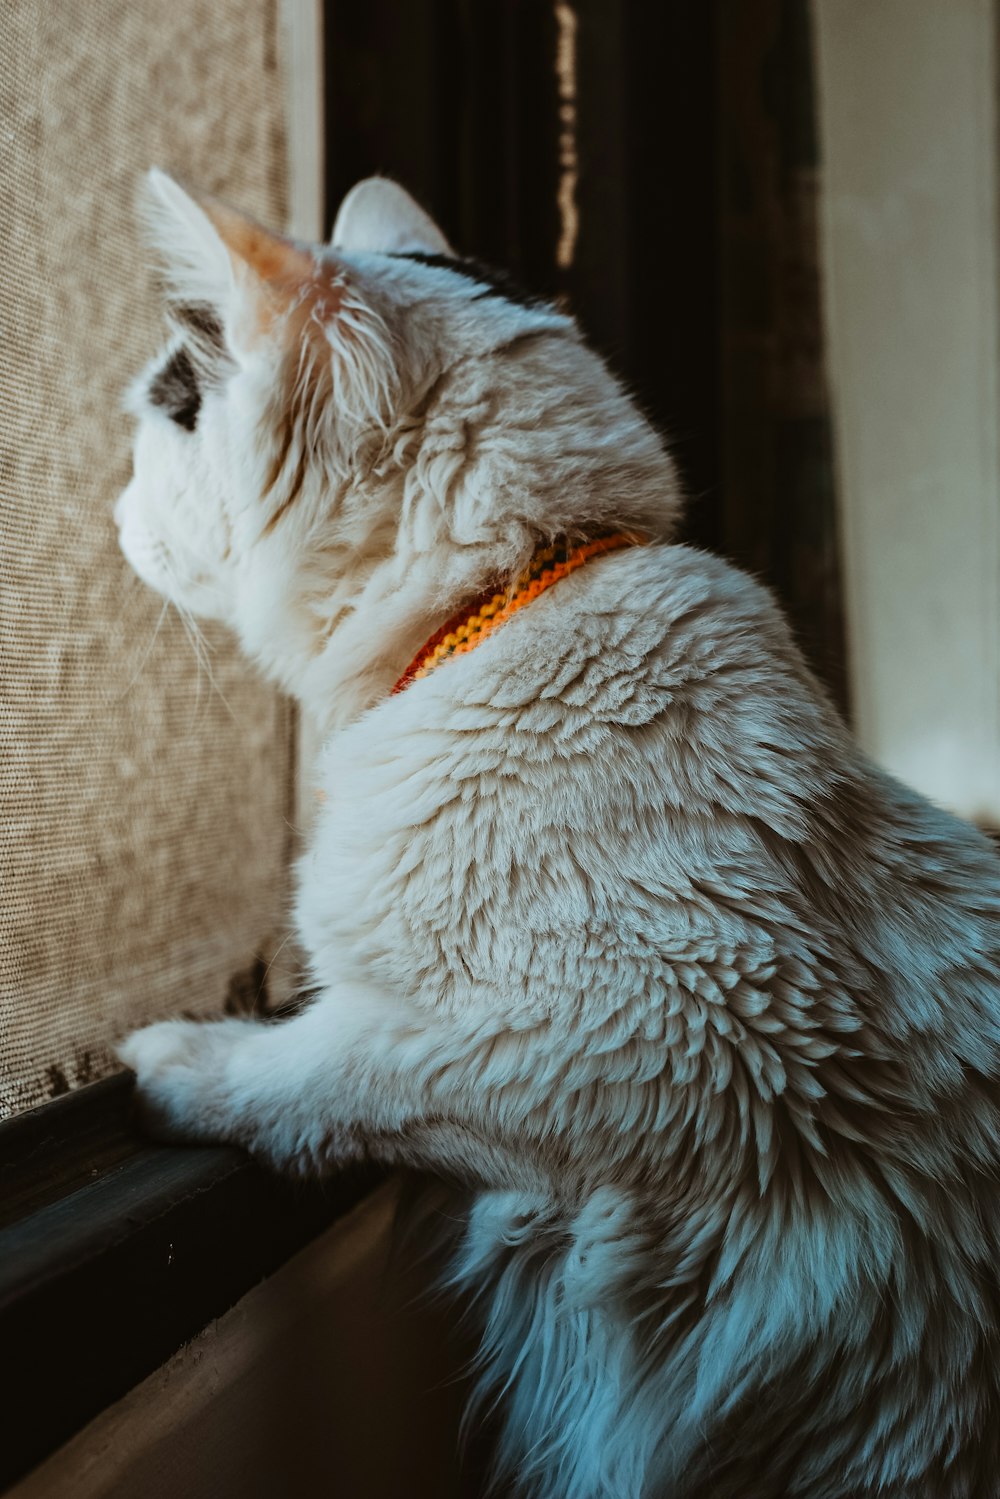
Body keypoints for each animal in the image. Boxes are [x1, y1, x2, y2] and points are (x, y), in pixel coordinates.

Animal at [113, 170, 1000, 1499]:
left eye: (163, 417)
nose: (110, 505)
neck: (509, 600)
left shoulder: (675, 1032)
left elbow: (344, 1059)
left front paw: (187, 1062)